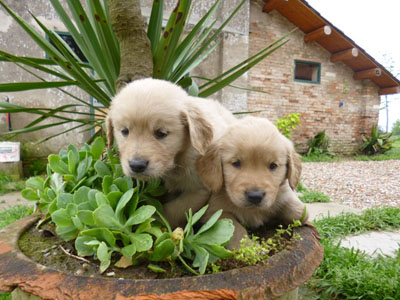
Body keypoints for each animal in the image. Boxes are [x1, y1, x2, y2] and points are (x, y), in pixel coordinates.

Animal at [107, 78, 238, 229]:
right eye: (124, 131)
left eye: (161, 133)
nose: (136, 165)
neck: (177, 159)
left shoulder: (199, 189)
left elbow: (174, 209)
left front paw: (158, 223)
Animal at [198, 115, 310, 248]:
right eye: (236, 163)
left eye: (273, 165)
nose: (255, 196)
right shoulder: (214, 211)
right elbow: (234, 229)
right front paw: (251, 248)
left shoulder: (281, 193)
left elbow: (300, 211)